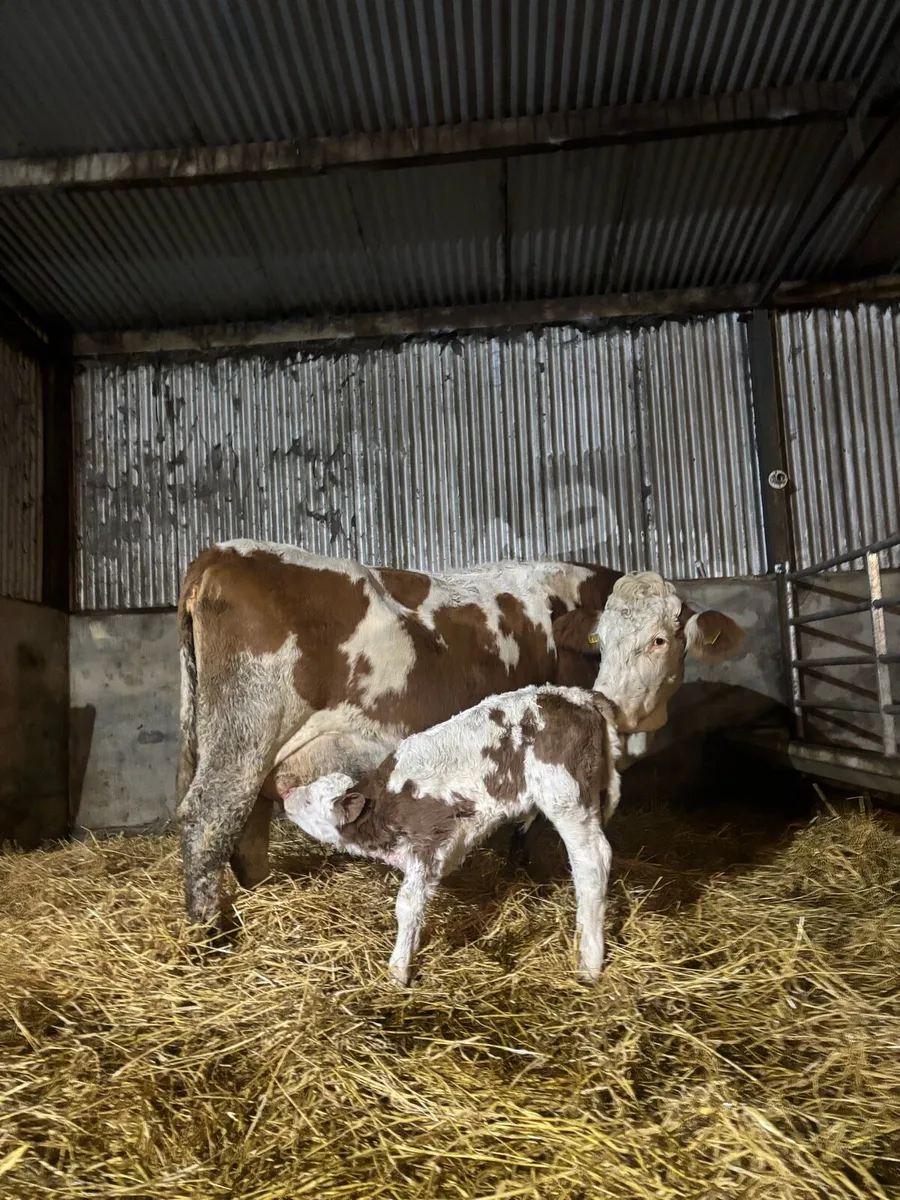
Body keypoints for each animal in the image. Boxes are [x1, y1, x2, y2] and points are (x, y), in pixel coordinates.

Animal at [176, 541, 744, 932]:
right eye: (601, 641)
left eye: (661, 640)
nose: (610, 700)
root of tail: (221, 553)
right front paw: (533, 877)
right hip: (245, 734)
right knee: (208, 818)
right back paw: (212, 936)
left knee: (245, 826)